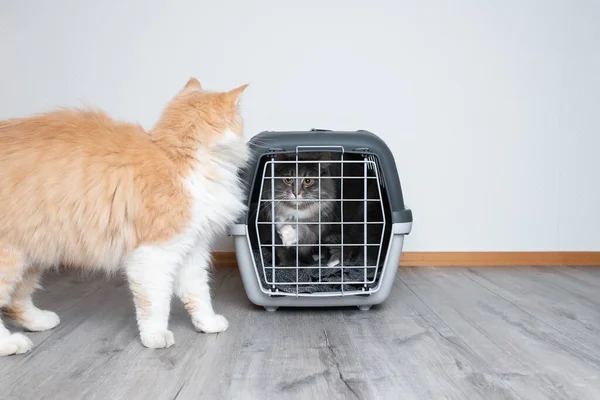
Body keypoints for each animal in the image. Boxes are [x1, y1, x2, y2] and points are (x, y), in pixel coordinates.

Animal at [0, 78, 248, 356]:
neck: (177, 157)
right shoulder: (154, 254)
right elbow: (155, 304)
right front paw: (155, 337)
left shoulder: (192, 249)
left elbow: (199, 294)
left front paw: (208, 323)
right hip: (11, 257)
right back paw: (10, 343)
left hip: (33, 254)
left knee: (16, 300)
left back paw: (39, 320)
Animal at [231, 130, 412, 310]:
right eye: (288, 179)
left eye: (308, 180)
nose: (296, 193)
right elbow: (283, 251)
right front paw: (287, 266)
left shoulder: (317, 226)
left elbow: (301, 232)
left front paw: (289, 234)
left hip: (352, 225)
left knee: (349, 248)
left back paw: (331, 264)